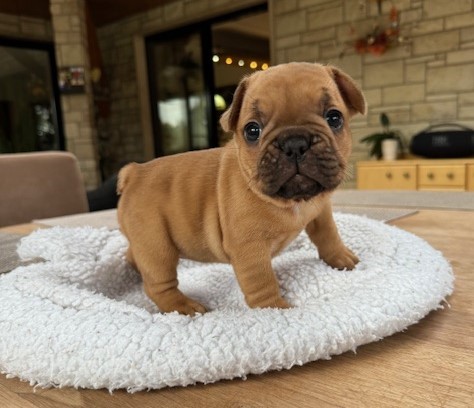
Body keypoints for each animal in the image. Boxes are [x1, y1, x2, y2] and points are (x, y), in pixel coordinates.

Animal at [117, 62, 366, 315]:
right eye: (252, 130)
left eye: (334, 117)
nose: (295, 143)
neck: (293, 202)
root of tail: (133, 172)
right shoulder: (249, 248)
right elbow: (262, 281)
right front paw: (274, 309)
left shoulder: (320, 212)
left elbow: (328, 235)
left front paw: (341, 258)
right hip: (156, 245)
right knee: (158, 284)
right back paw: (184, 306)